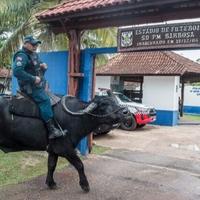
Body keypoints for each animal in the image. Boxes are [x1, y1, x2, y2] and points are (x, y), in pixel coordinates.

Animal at [0, 95, 128, 192]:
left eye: (114, 101)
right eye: (104, 105)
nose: (126, 112)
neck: (76, 118)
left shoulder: (53, 150)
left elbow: (51, 165)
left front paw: (51, 183)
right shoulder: (66, 149)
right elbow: (80, 165)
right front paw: (85, 185)